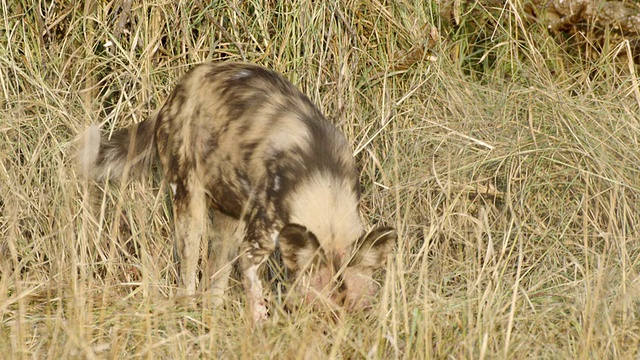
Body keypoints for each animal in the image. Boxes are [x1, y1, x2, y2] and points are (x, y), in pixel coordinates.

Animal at [77, 61, 398, 320]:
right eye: (318, 311)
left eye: (357, 312)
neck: (323, 182)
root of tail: (180, 88)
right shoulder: (254, 248)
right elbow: (256, 297)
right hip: (191, 206)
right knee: (190, 271)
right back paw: (188, 315)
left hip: (229, 222)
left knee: (215, 278)